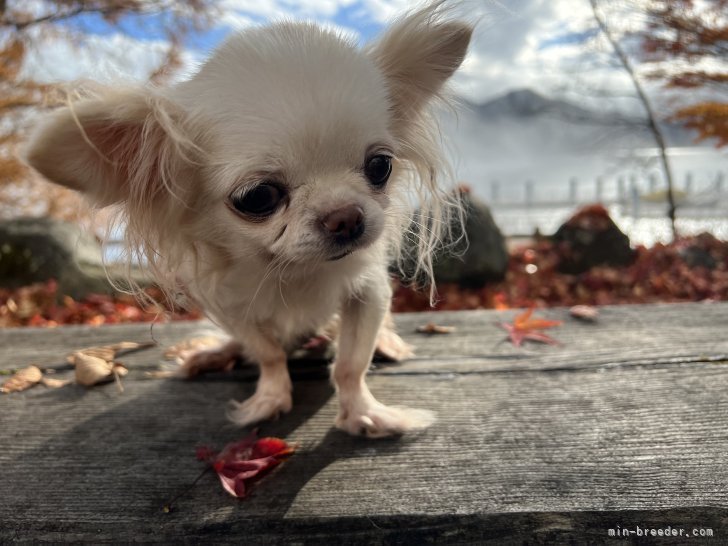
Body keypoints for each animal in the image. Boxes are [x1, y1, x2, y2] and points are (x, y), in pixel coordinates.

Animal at [25, 0, 472, 434]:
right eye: (258, 197)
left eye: (380, 166)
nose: (345, 216)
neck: (295, 270)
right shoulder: (232, 307)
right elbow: (268, 354)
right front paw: (270, 399)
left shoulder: (368, 292)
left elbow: (350, 364)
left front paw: (365, 415)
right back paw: (214, 353)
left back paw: (387, 344)